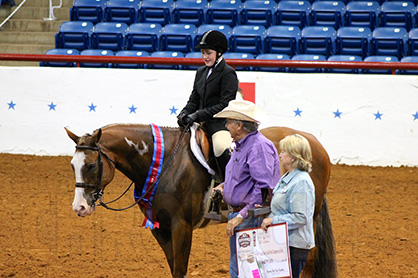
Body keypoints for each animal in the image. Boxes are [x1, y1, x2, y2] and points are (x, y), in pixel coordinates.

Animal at [66, 124, 340, 278]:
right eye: (72, 165)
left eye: (91, 165)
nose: (79, 208)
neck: (166, 163)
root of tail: (311, 141)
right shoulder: (160, 227)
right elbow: (173, 268)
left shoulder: (182, 225)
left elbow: (180, 269)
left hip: (309, 215)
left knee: (309, 259)